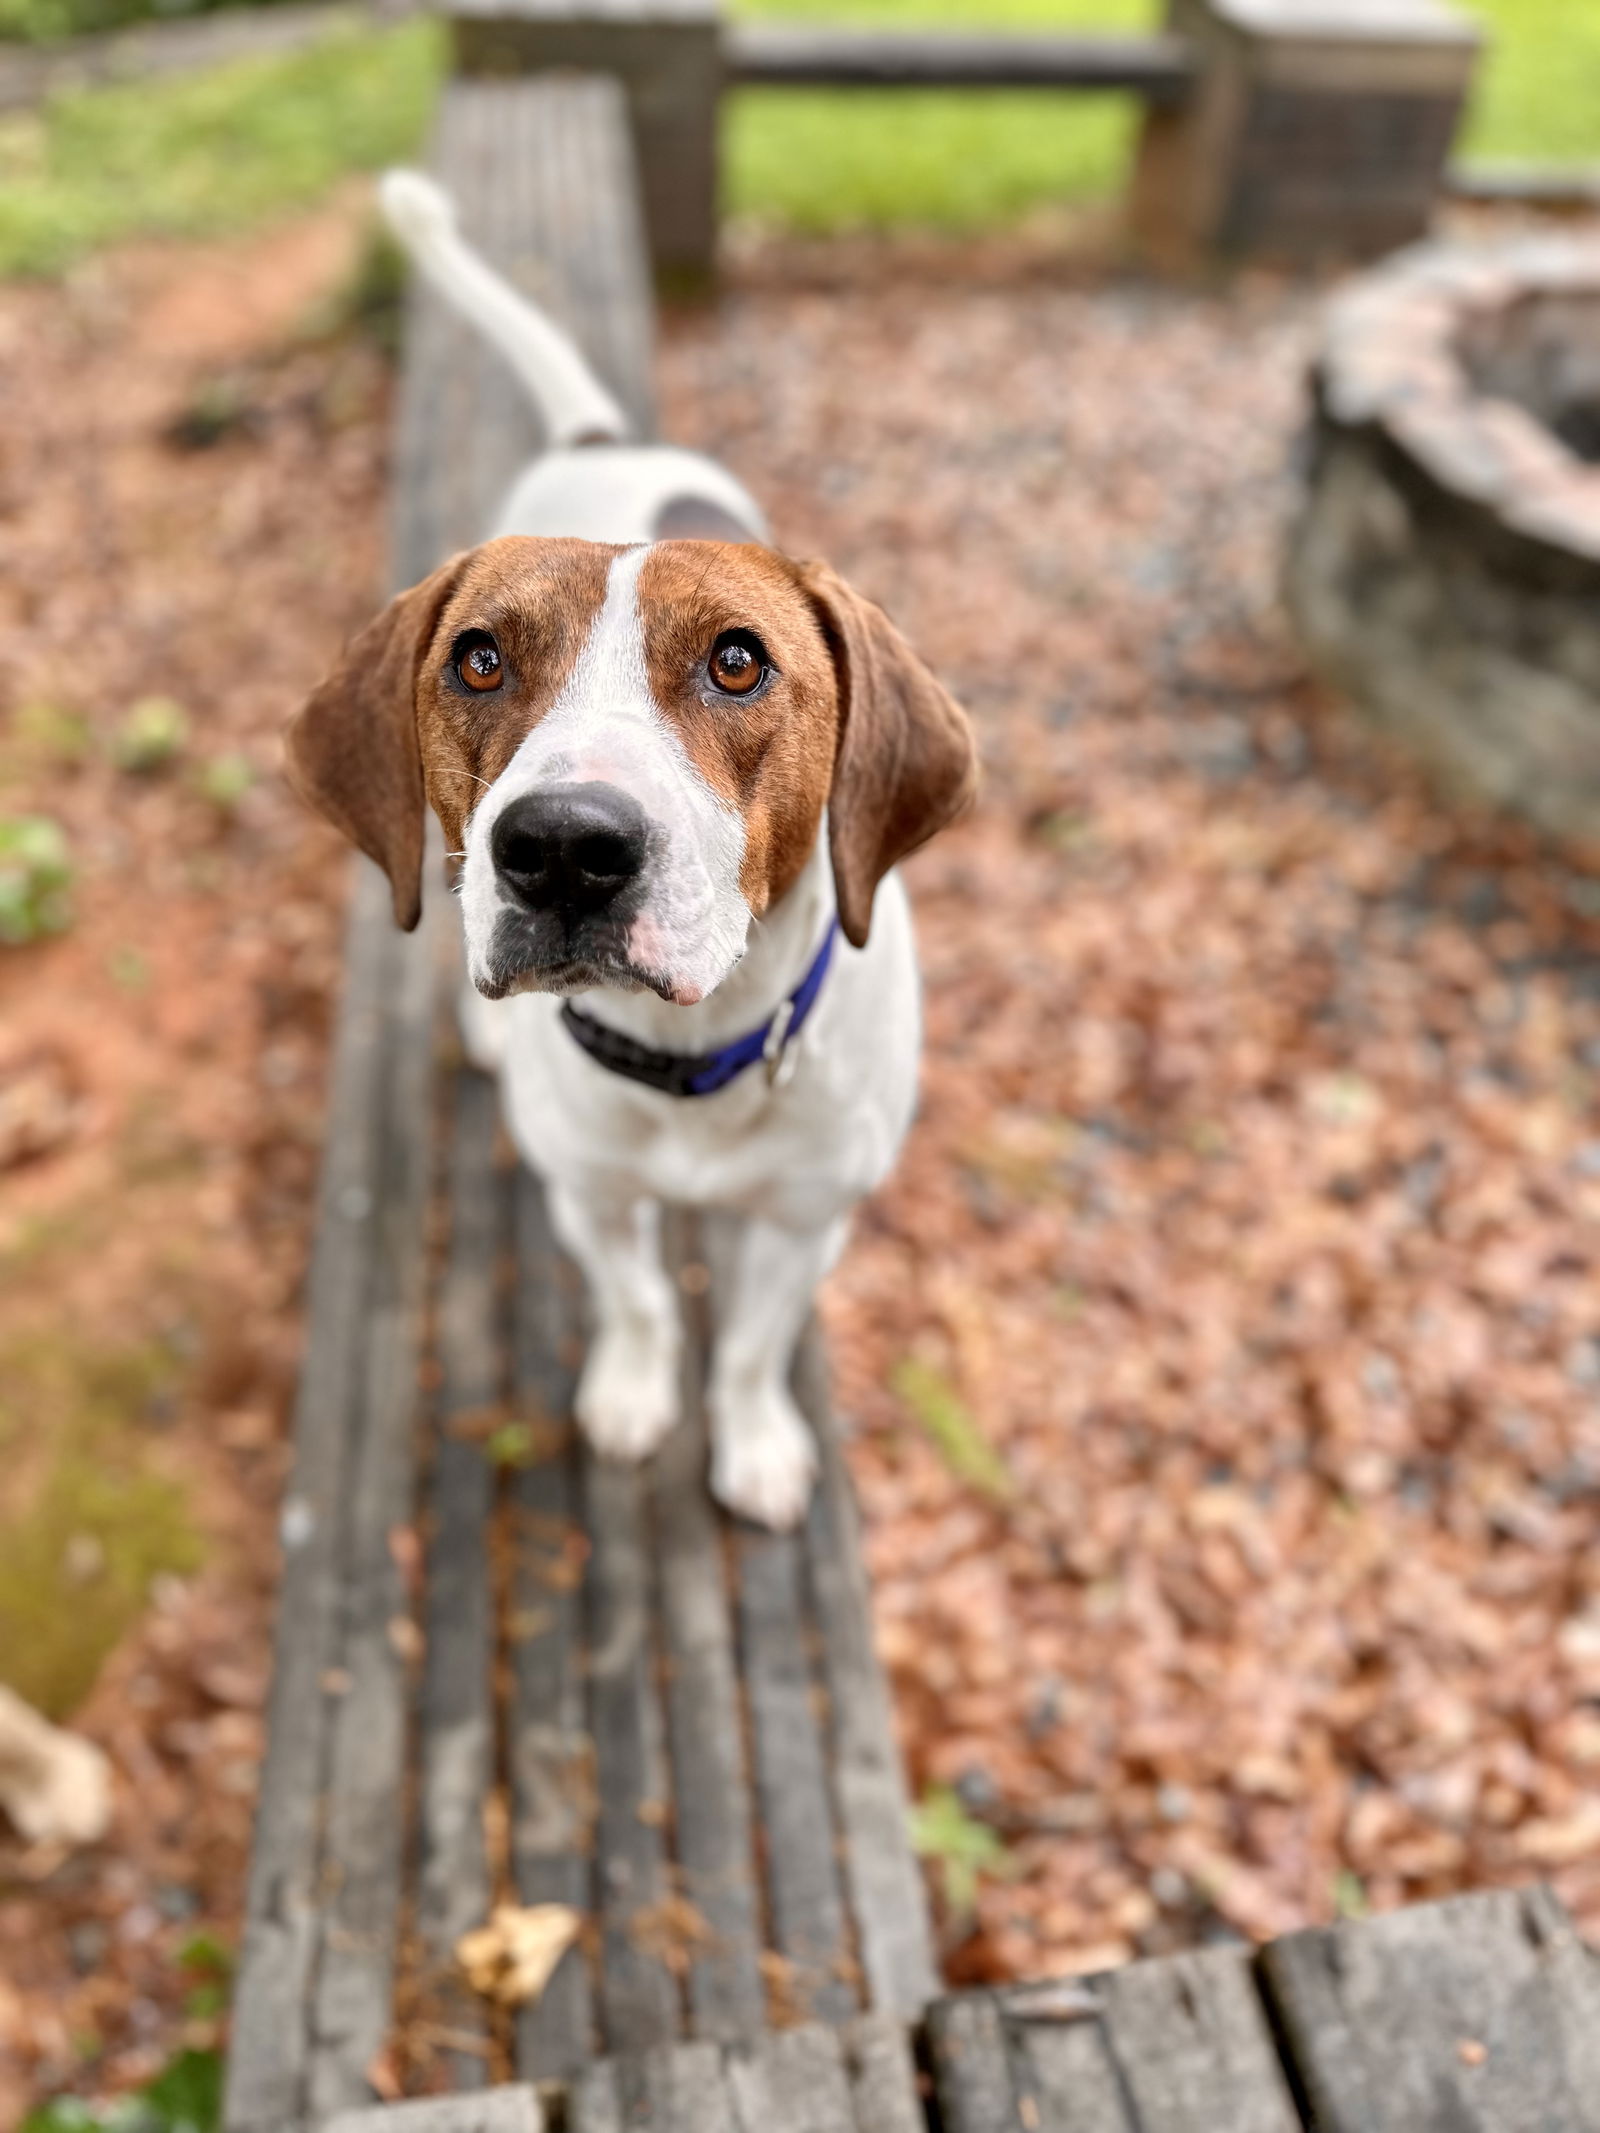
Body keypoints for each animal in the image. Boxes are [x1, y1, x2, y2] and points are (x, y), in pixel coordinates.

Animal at [288, 174, 977, 1527]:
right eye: (480, 659)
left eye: (738, 661)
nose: (562, 848)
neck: (688, 1063)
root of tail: (603, 444)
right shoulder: (591, 1194)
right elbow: (643, 1300)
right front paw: (630, 1393)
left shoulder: (806, 1219)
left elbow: (754, 1343)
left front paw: (753, 1444)